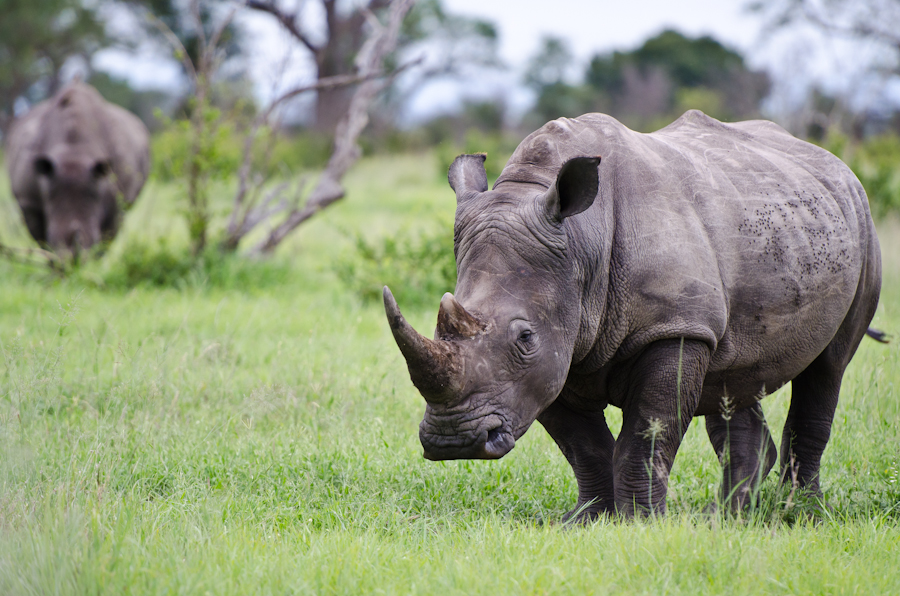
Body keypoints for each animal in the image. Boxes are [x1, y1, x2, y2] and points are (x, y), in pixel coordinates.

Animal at [4, 82, 150, 253]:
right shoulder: (28, 202)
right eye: (53, 237)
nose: (72, 257)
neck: (74, 152)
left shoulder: (118, 203)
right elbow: (42, 240)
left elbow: (105, 239)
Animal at [384, 110, 882, 519]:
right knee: (736, 377)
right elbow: (584, 446)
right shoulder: (557, 352)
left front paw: (642, 521)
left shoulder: (674, 328)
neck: (582, 240)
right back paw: (729, 518)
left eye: (524, 338)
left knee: (828, 368)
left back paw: (800, 514)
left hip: (860, 222)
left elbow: (647, 435)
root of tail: (835, 163)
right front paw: (587, 521)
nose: (454, 441)